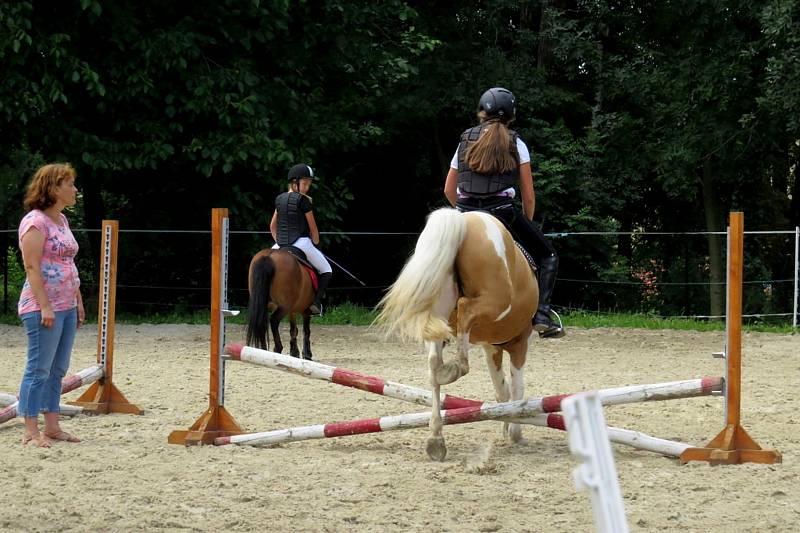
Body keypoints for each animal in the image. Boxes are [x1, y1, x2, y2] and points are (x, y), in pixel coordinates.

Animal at [378, 208, 540, 462]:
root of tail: (463, 220)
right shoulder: (519, 344)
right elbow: (516, 389)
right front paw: (514, 432)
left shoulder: (491, 348)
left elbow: (501, 390)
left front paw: (506, 425)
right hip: (494, 302)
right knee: (465, 310)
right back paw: (457, 368)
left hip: (439, 311)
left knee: (434, 364)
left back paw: (436, 438)